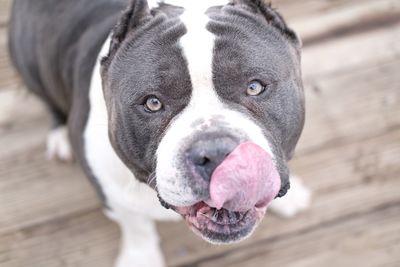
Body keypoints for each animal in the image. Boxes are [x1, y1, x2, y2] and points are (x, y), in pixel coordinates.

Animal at [8, 1, 310, 266]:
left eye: (255, 87)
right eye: (152, 103)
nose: (216, 154)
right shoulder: (109, 188)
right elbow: (136, 226)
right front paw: (140, 258)